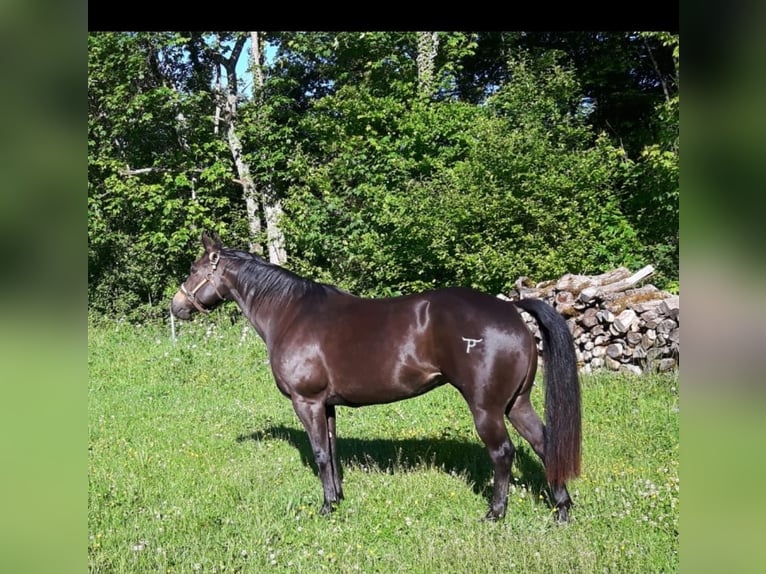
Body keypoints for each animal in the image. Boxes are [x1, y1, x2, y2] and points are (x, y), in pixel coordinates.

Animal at [172, 232, 584, 524]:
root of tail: (512, 309)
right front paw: (337, 499)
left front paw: (325, 508)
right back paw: (561, 510)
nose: (176, 307)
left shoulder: (307, 402)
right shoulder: (327, 405)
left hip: (487, 409)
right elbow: (333, 451)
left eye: (193, 270)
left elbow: (320, 453)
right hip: (517, 403)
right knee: (545, 444)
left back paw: (495, 513)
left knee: (503, 453)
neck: (290, 313)